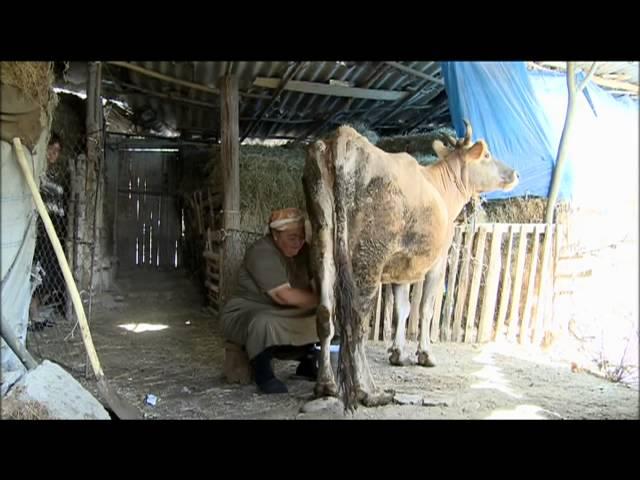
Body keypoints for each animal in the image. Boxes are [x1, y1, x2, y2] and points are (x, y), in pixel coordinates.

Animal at [302, 122, 516, 410]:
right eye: (487, 155)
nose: (514, 173)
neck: (443, 188)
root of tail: (342, 137)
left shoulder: (400, 269)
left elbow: (400, 309)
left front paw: (397, 352)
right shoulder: (438, 260)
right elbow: (425, 308)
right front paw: (425, 353)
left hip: (322, 243)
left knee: (325, 314)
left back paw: (326, 385)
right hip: (368, 255)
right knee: (355, 323)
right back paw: (369, 391)